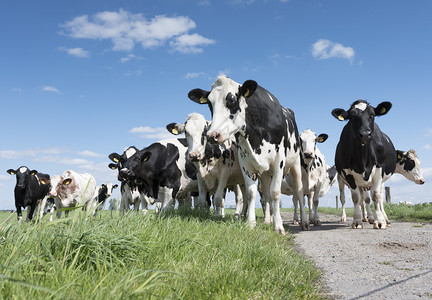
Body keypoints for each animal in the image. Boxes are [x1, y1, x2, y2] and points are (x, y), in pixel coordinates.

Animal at [187, 75, 306, 234]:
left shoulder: (278, 161)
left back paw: (304, 221)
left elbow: (275, 192)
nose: (212, 135)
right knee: (265, 194)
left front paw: (279, 226)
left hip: (295, 165)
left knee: (299, 192)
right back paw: (267, 220)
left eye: (232, 99)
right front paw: (251, 223)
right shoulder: (245, 162)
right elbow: (251, 193)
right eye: (209, 104)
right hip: (264, 173)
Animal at [332, 99, 396, 229]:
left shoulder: (378, 170)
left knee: (374, 198)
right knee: (344, 199)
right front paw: (357, 221)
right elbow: (356, 198)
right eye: (351, 117)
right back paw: (346, 217)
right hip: (341, 180)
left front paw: (379, 221)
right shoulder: (348, 173)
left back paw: (378, 218)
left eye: (372, 115)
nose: (365, 134)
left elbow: (375, 196)